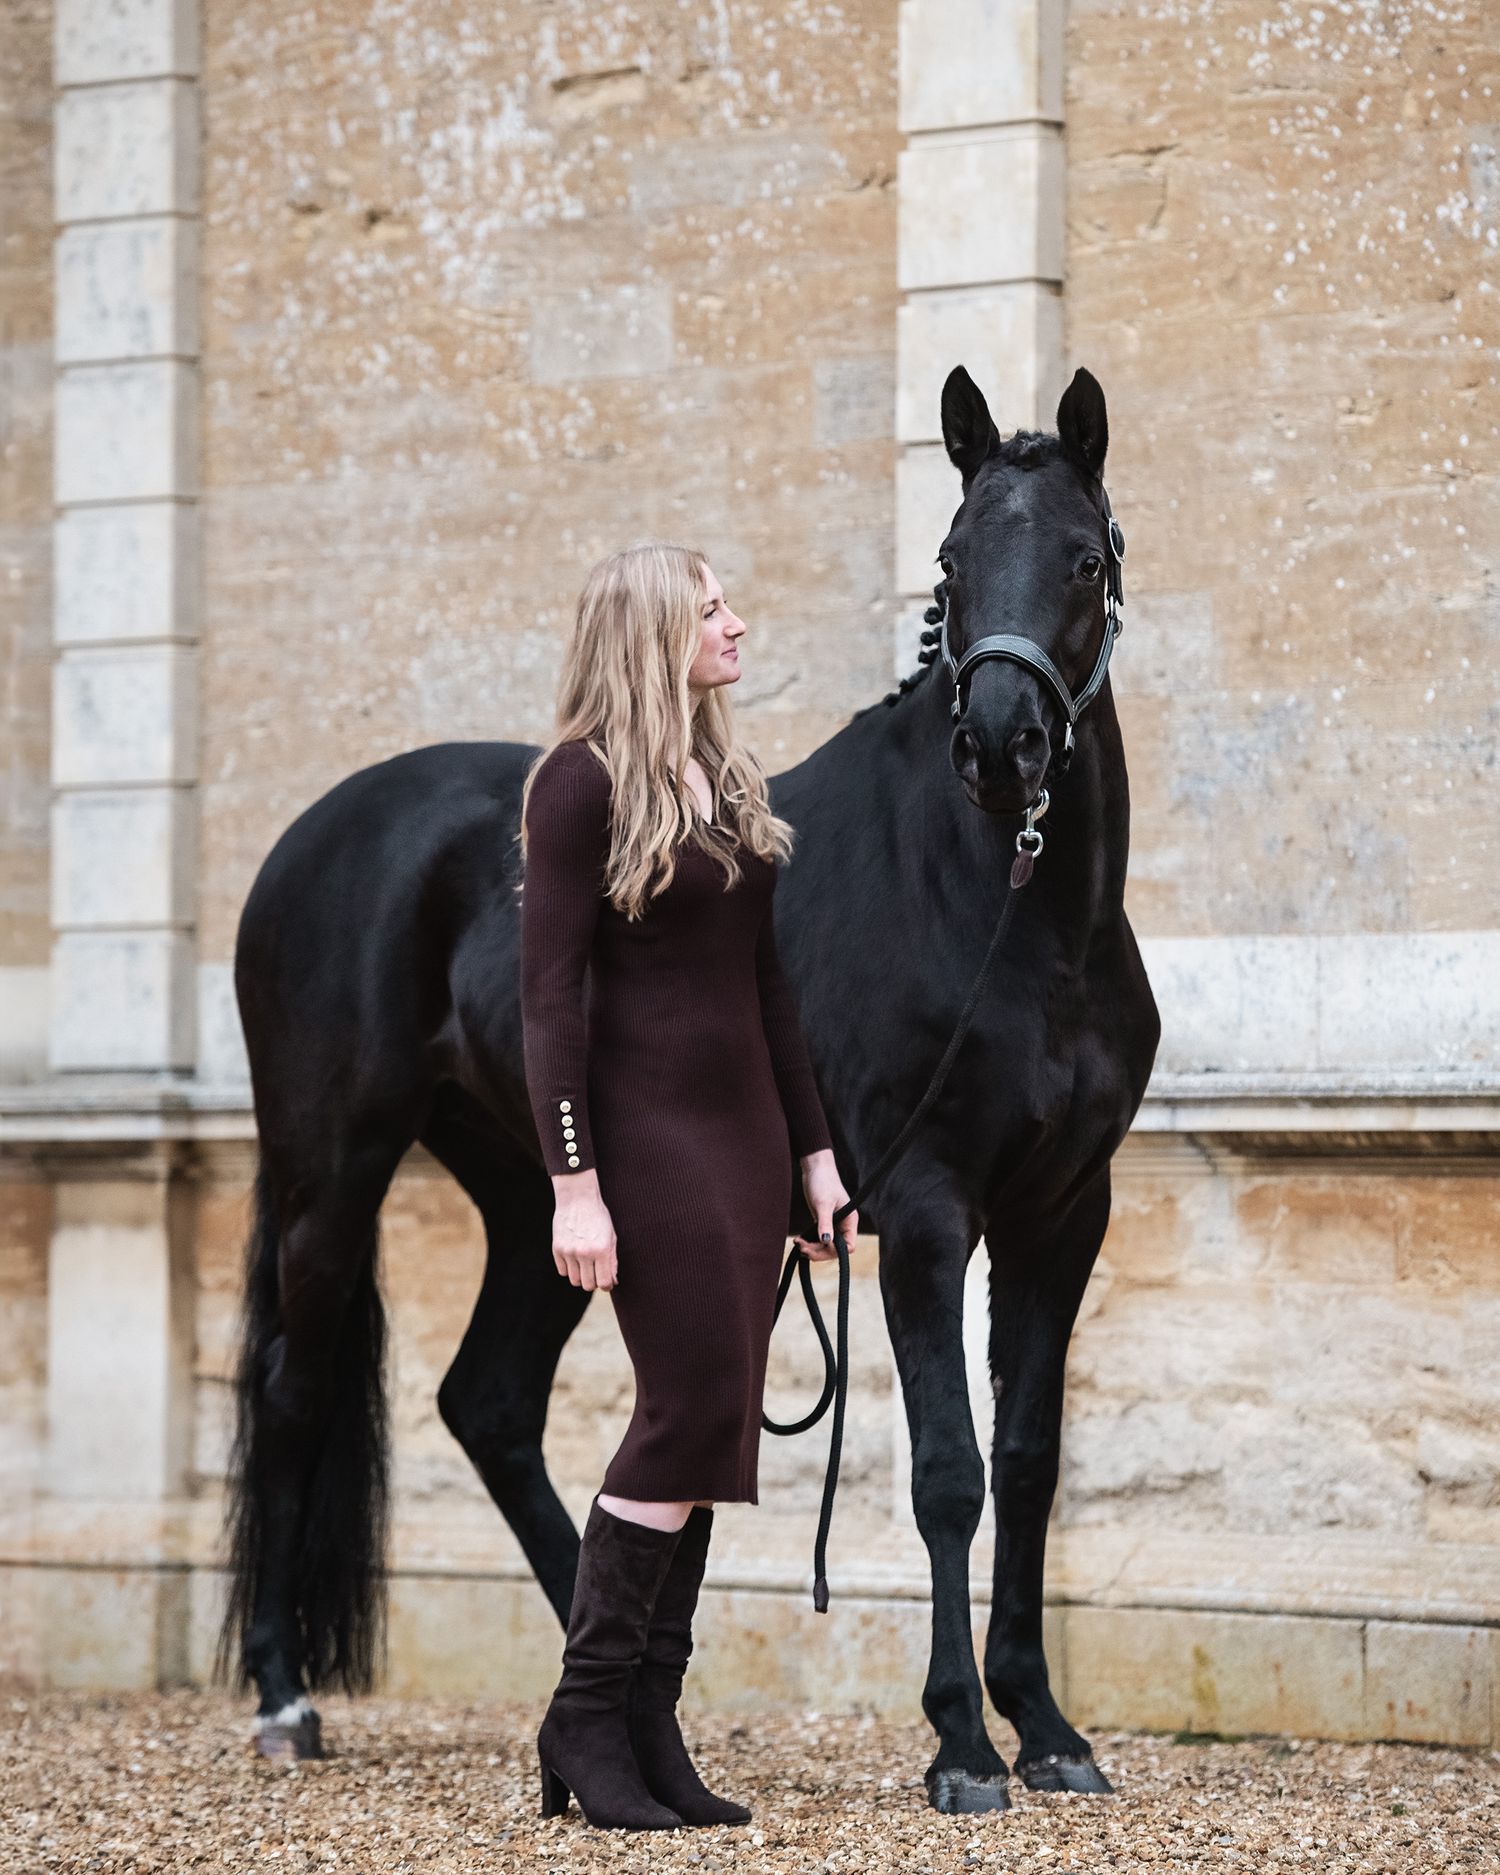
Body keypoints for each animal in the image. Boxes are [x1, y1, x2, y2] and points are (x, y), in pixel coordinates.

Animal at [219, 363, 1159, 1812]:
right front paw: (960, 1743)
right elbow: (948, 1473)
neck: (1009, 912)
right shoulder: (928, 1208)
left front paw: (1048, 1728)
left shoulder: (1063, 1211)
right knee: (292, 1389)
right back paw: (283, 1695)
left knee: (488, 1403)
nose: (1000, 746)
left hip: (541, 1202)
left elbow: (1028, 1460)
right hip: (333, 1171)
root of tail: (317, 834)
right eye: (951, 560)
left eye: (1082, 558)